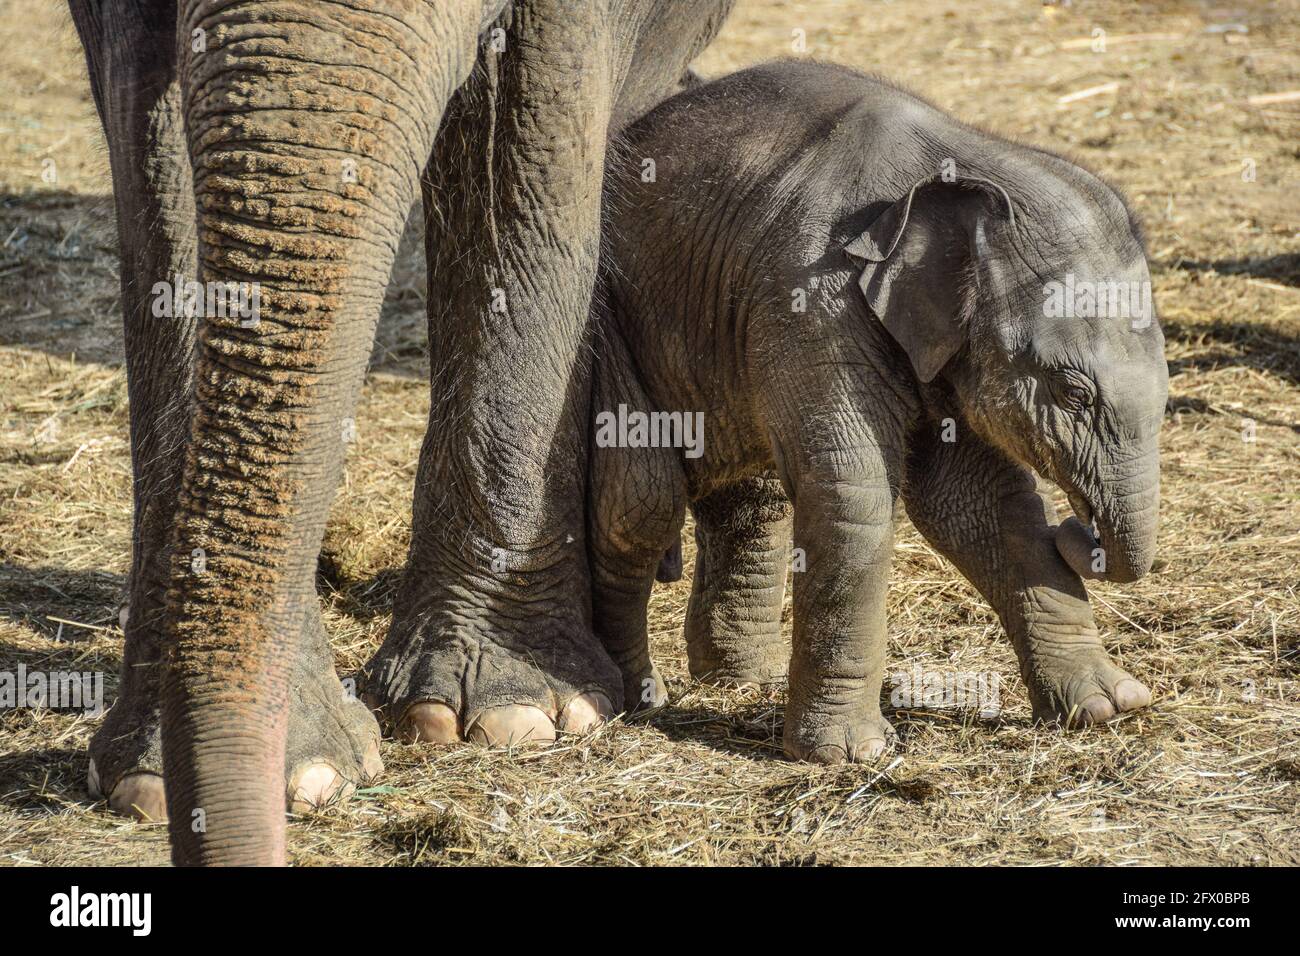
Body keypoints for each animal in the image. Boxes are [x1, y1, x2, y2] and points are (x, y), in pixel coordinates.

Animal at [586, 61, 1167, 762]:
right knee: (638, 501)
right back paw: (634, 696)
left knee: (750, 499)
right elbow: (854, 491)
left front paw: (1111, 705)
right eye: (1073, 393)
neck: (968, 162)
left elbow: (978, 502)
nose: (1079, 529)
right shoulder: (809, 298)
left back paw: (740, 680)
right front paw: (849, 753)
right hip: (610, 322)